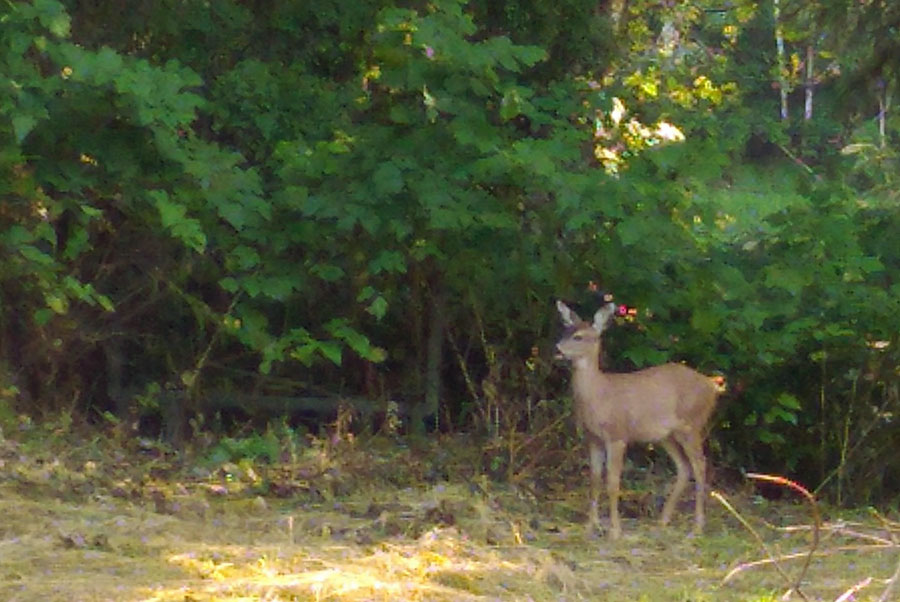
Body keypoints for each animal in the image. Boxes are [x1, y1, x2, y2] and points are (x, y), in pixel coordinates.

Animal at [556, 300, 719, 540]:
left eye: (579, 336)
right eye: (564, 331)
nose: (557, 349)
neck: (598, 395)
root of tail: (713, 387)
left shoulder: (617, 435)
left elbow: (613, 482)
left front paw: (614, 531)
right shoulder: (592, 437)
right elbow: (594, 480)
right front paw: (590, 527)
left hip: (692, 424)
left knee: (700, 465)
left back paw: (697, 527)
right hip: (666, 435)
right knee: (684, 467)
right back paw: (663, 521)